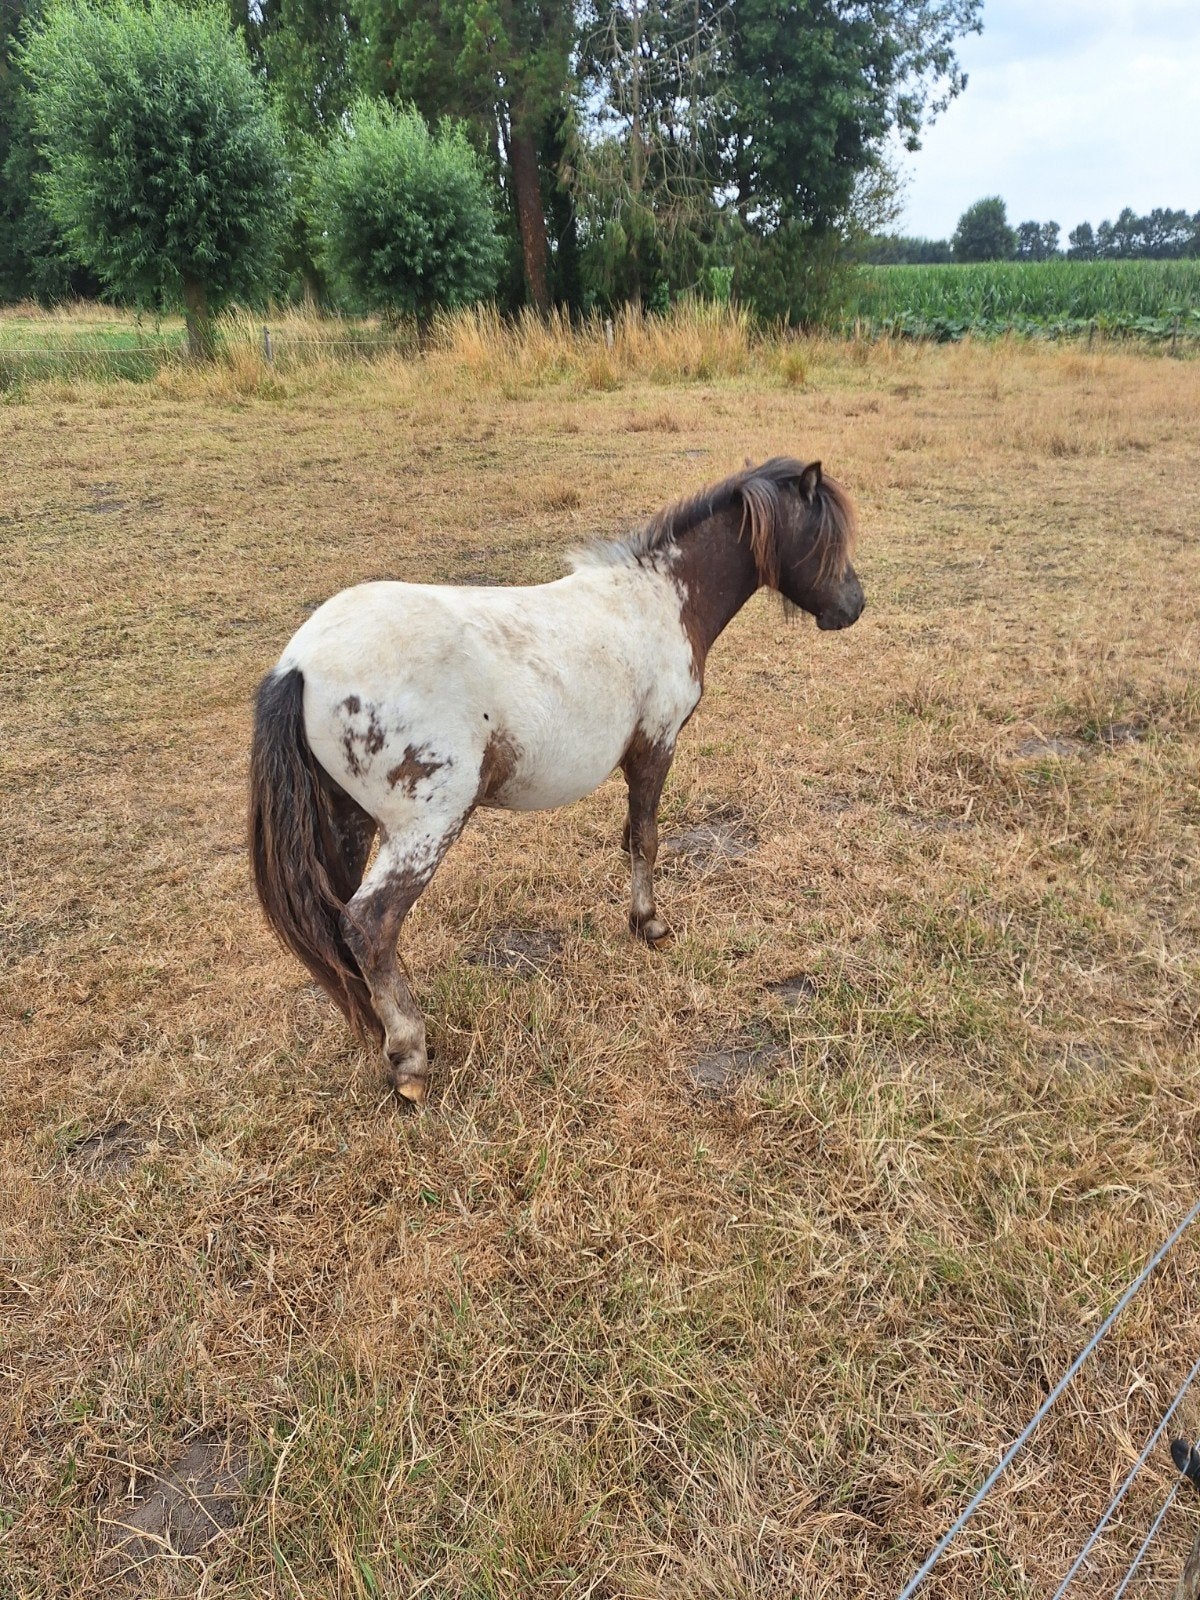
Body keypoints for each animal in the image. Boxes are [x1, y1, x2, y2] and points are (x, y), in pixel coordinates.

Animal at [249, 456, 864, 1104]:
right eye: (827, 538)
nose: (854, 604)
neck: (657, 599)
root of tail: (298, 665)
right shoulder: (656, 746)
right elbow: (645, 840)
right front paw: (650, 925)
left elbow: (631, 839)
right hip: (425, 827)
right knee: (368, 925)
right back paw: (410, 1058)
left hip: (349, 822)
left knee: (338, 925)